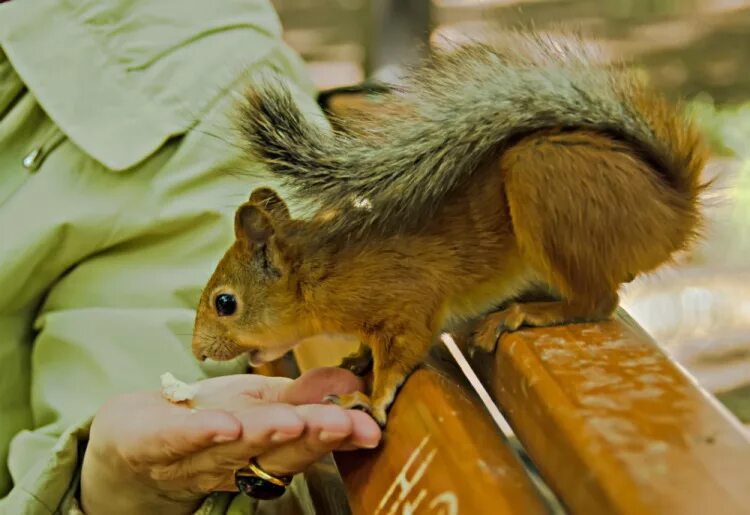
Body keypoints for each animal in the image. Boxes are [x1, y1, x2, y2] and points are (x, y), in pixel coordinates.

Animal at [191, 31, 708, 428]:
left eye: (225, 303)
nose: (198, 352)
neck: (320, 274)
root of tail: (675, 209)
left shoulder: (406, 303)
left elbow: (401, 353)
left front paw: (370, 400)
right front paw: (358, 357)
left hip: (540, 176)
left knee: (597, 301)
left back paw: (528, 313)